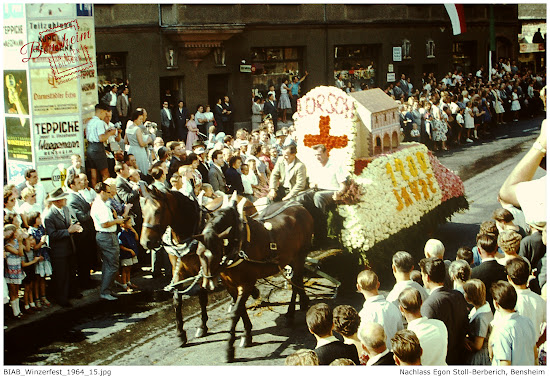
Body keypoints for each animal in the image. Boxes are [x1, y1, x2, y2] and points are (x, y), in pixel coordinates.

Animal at [140, 188, 256, 344]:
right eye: (142, 211)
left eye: (158, 211)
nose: (145, 242)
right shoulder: (178, 271)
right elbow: (177, 300)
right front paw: (180, 334)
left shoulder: (203, 270)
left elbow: (202, 298)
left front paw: (202, 326)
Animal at [197, 195, 314, 360]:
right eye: (198, 253)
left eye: (217, 250)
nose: (208, 284)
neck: (238, 243)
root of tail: (299, 206)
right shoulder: (230, 285)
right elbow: (240, 309)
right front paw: (247, 334)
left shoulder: (247, 282)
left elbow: (235, 313)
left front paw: (230, 348)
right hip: (291, 259)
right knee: (296, 281)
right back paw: (302, 302)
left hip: (300, 256)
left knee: (295, 282)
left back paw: (291, 314)